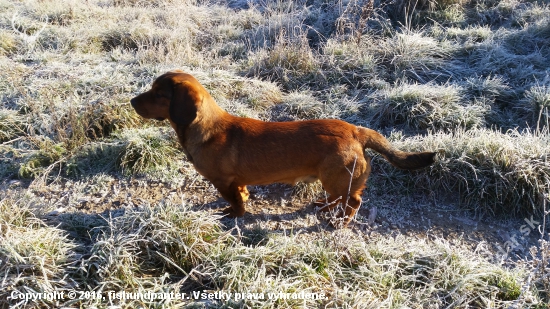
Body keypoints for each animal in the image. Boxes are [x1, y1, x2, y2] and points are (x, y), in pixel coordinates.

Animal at [132, 70, 438, 226]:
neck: (207, 128)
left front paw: (234, 214)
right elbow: (242, 193)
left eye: (159, 94)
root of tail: (358, 132)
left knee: (354, 201)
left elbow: (235, 202)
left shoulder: (223, 181)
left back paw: (342, 220)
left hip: (338, 179)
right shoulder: (236, 181)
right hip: (333, 179)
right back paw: (324, 206)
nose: (132, 101)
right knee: (338, 198)